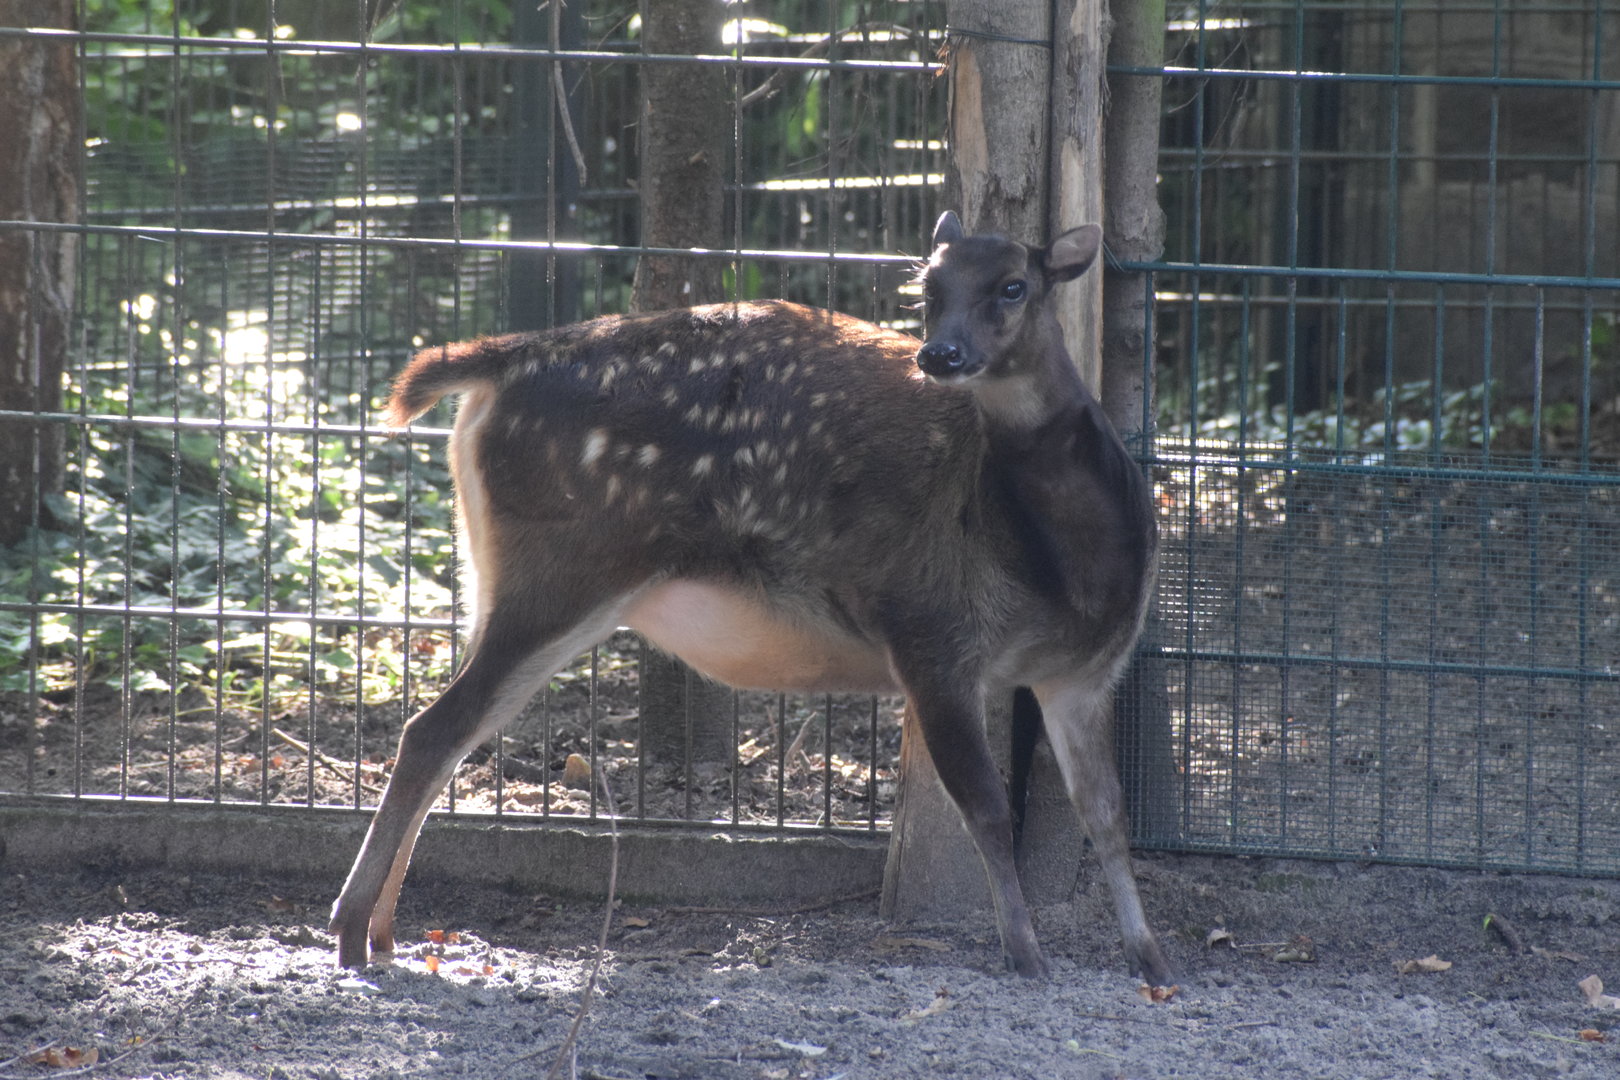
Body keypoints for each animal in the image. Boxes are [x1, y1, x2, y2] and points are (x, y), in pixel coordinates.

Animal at [328, 211, 1171, 986]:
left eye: (1014, 285)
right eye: (929, 288)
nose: (941, 353)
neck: (1065, 575)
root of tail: (491, 369)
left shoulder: (1083, 675)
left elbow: (1109, 813)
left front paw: (1149, 959)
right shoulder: (929, 635)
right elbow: (990, 808)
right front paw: (1026, 955)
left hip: (514, 582)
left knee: (448, 733)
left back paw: (387, 933)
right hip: (560, 570)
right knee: (433, 732)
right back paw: (351, 931)